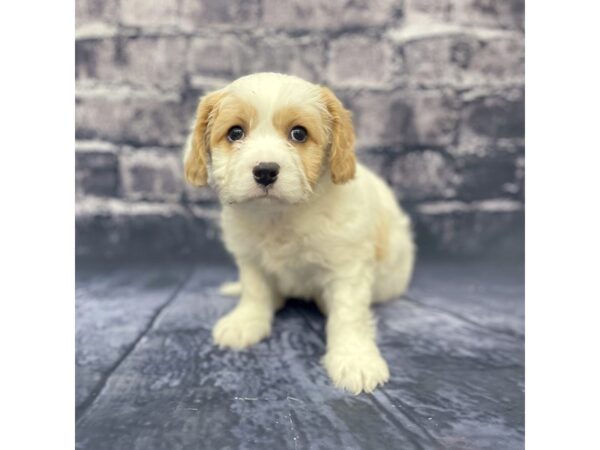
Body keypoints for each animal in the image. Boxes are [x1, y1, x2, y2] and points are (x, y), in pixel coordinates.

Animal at [183, 73, 414, 394]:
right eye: (235, 133)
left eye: (299, 134)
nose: (265, 171)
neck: (281, 215)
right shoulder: (250, 257)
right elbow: (255, 290)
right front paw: (246, 321)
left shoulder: (348, 268)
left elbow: (348, 314)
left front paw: (354, 358)